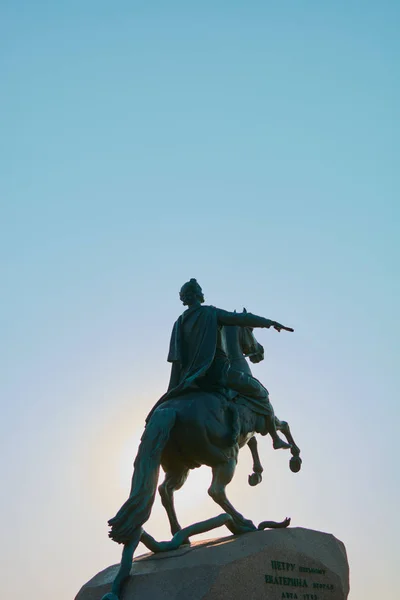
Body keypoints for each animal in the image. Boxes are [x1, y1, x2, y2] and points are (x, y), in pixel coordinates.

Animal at [103, 324, 300, 600]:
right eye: (249, 330)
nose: (259, 352)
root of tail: (169, 411)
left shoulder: (246, 432)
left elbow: (255, 443)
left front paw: (256, 473)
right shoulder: (261, 417)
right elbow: (282, 426)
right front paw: (292, 457)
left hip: (180, 466)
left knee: (165, 490)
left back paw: (179, 534)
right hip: (224, 459)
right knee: (215, 491)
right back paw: (244, 523)